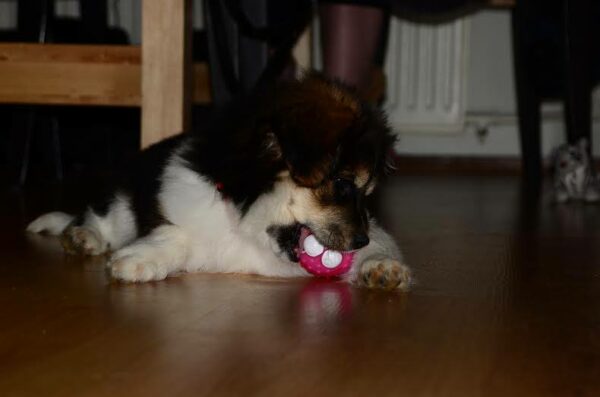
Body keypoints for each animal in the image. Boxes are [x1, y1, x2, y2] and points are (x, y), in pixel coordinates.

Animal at [28, 74, 412, 290]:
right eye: (343, 184)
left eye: (367, 193)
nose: (360, 240)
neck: (247, 224)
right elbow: (175, 235)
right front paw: (137, 259)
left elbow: (382, 244)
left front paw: (381, 266)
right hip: (124, 198)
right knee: (103, 216)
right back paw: (83, 236)